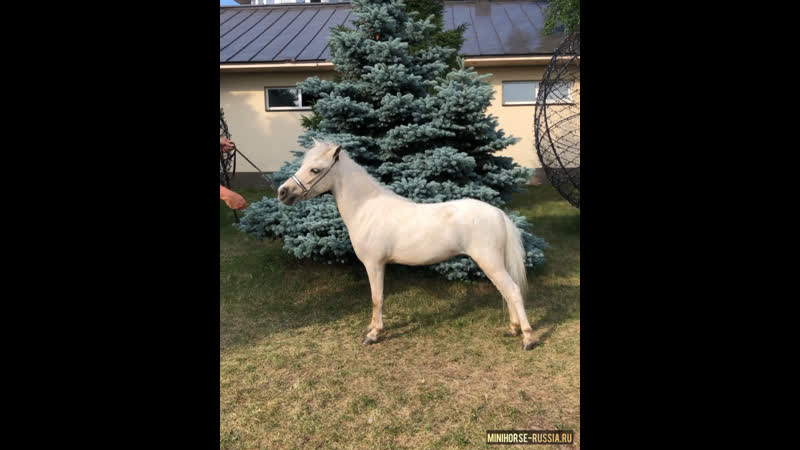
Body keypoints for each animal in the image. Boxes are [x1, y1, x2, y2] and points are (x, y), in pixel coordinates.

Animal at [277, 139, 537, 350]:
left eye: (315, 169)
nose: (282, 192)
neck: (366, 208)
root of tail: (498, 214)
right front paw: (371, 329)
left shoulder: (374, 264)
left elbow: (376, 298)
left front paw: (373, 334)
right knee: (506, 292)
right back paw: (512, 329)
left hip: (490, 262)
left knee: (513, 291)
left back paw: (527, 338)